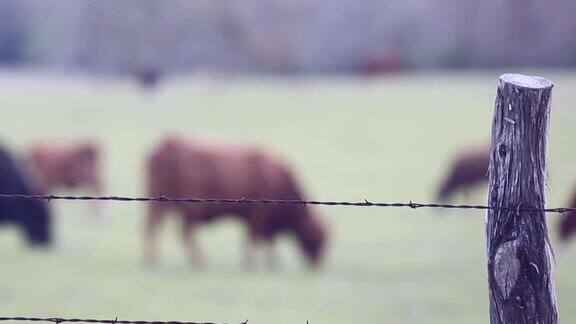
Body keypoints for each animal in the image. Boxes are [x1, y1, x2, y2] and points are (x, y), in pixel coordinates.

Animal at [145, 137, 328, 268]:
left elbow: (264, 240)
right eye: (317, 239)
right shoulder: (258, 216)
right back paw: (196, 261)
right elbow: (253, 239)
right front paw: (251, 263)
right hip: (181, 209)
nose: (317, 265)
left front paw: (271, 263)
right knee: (179, 232)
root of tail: (167, 144)